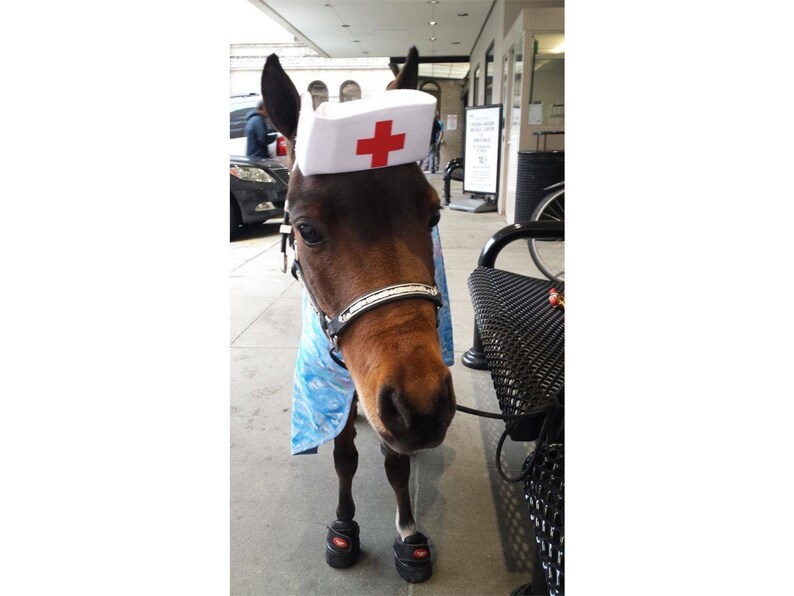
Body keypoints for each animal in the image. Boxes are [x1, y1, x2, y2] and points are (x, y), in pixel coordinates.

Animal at [260, 47, 456, 583]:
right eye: (306, 229)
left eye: (433, 215)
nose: (422, 406)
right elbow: (343, 454)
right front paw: (344, 525)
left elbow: (397, 462)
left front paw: (408, 532)